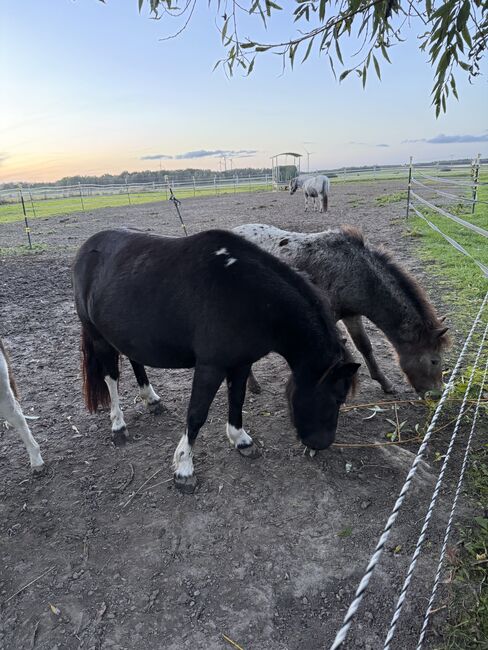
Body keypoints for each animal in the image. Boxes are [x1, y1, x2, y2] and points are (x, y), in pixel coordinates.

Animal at [234, 223, 450, 394]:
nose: (436, 394)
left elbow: (364, 346)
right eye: (434, 361)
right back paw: (252, 385)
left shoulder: (351, 315)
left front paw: (385, 383)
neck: (351, 269)